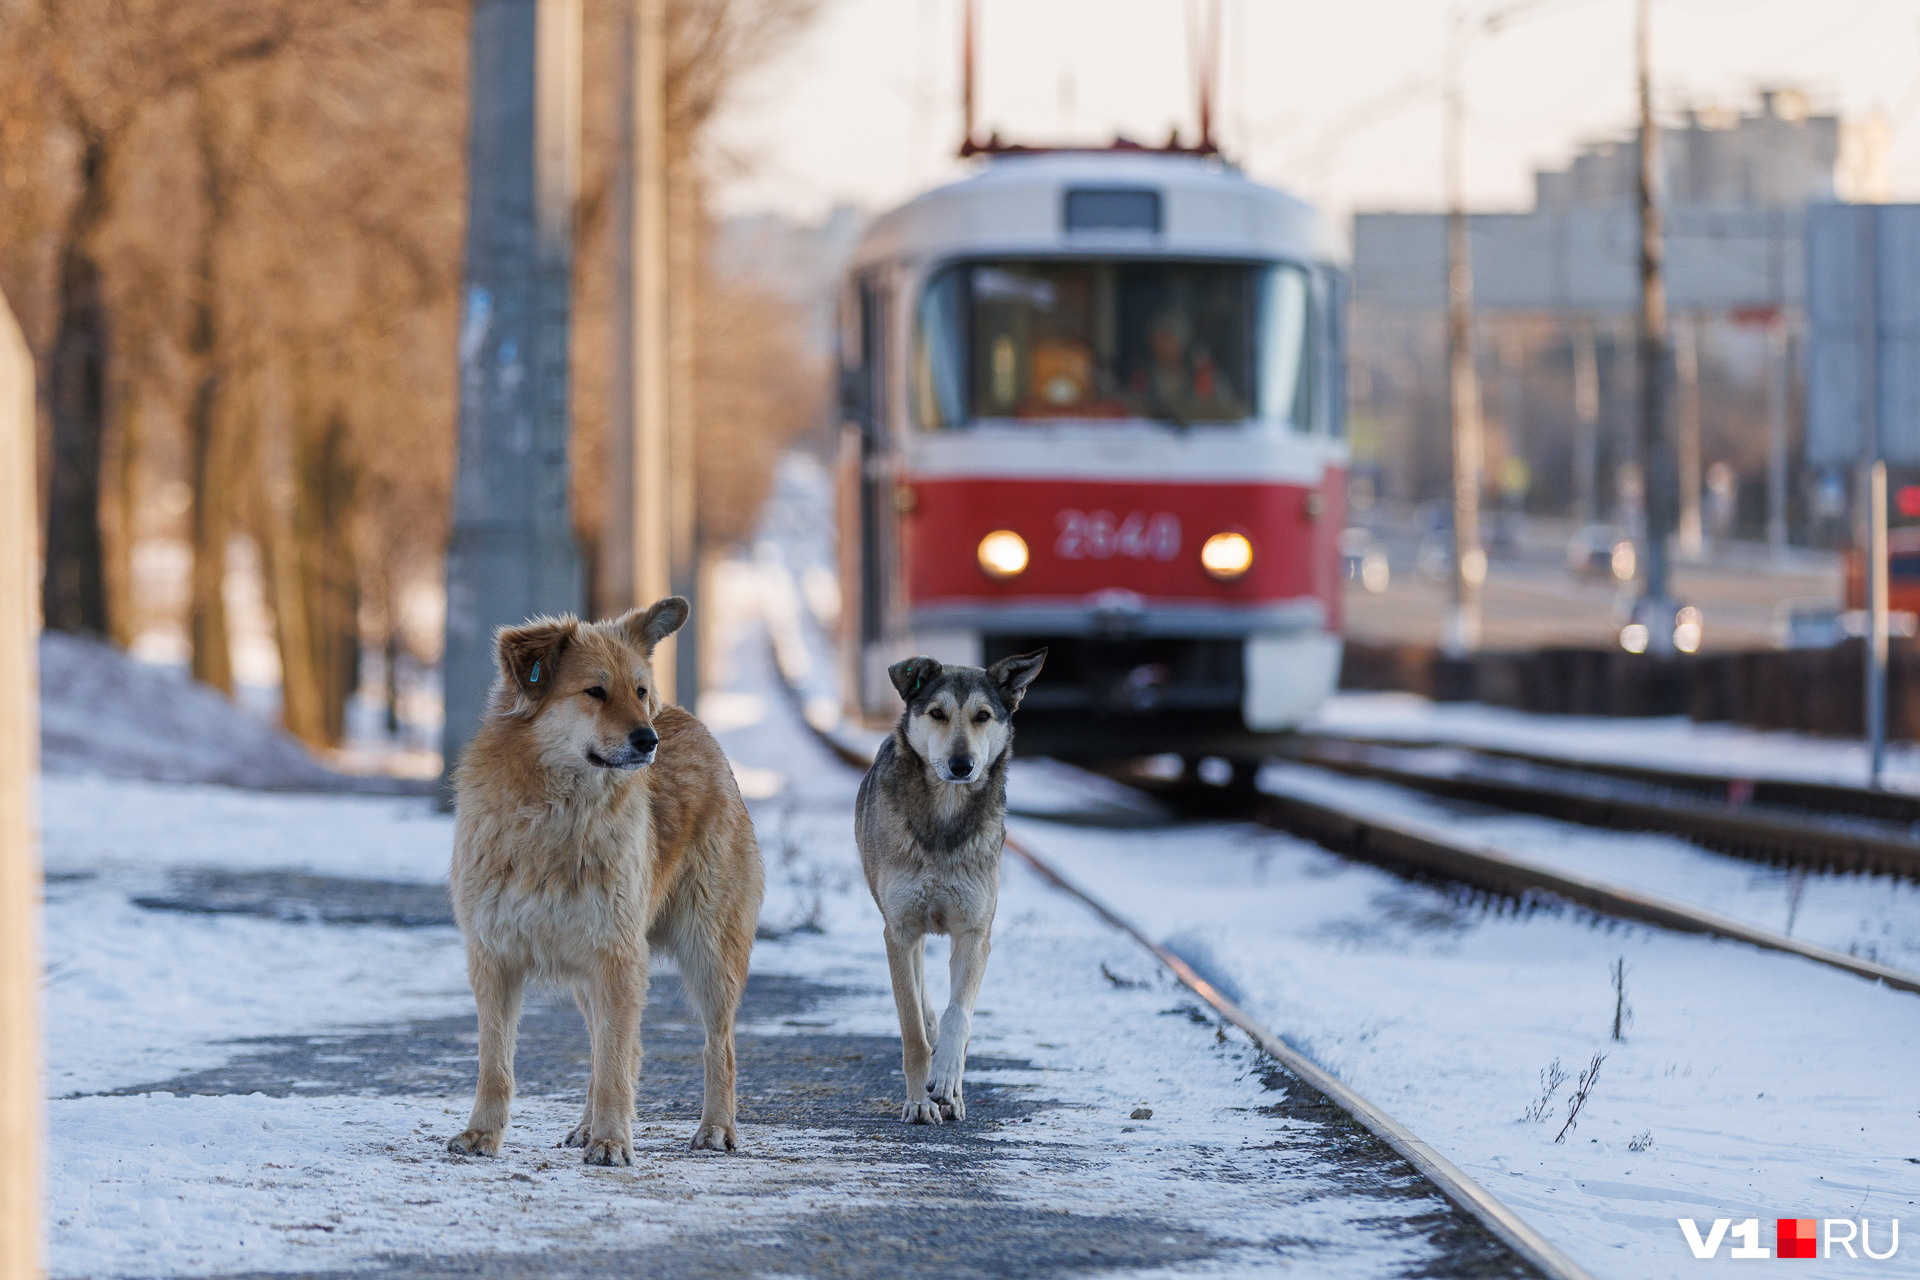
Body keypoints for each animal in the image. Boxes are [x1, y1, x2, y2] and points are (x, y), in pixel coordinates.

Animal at [445, 594, 760, 1166]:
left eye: (638, 691)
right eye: (595, 691)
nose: (648, 739)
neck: (552, 812)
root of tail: (687, 718)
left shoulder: (616, 954)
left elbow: (614, 1064)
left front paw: (614, 1142)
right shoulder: (494, 956)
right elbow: (495, 1063)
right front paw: (482, 1133)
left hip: (709, 949)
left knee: (717, 1044)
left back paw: (715, 1128)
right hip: (589, 972)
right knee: (610, 1047)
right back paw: (586, 1126)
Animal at [860, 652, 1052, 1120]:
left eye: (982, 716)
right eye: (937, 714)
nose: (961, 765)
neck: (945, 817)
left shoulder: (974, 933)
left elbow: (958, 1016)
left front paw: (947, 1079)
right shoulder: (900, 931)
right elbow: (912, 1030)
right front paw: (918, 1102)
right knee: (919, 994)